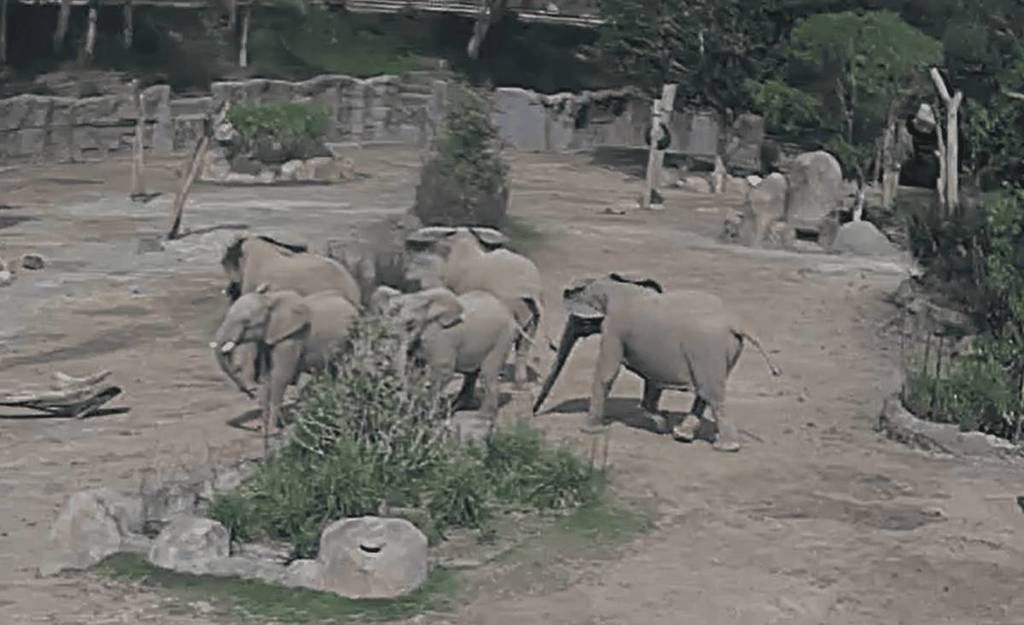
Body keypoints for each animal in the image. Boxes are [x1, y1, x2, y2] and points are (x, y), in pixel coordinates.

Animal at [211, 284, 359, 453]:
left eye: (247, 322)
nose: (250, 393)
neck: (269, 300)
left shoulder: (292, 338)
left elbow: (280, 377)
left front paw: (273, 429)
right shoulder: (268, 339)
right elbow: (267, 378)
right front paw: (264, 429)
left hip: (350, 338)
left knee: (345, 367)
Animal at [371, 285, 519, 429]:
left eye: (410, 324)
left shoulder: (442, 338)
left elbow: (443, 371)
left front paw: (426, 417)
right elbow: (415, 369)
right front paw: (412, 414)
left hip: (503, 338)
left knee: (488, 373)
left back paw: (482, 416)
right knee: (471, 374)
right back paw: (458, 407)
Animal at [532, 273, 781, 453]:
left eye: (577, 322)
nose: (533, 414)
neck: (610, 287)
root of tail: (736, 323)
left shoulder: (614, 328)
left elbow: (607, 373)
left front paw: (589, 431)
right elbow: (652, 381)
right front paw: (660, 424)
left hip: (708, 350)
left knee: (711, 394)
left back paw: (725, 447)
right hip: (725, 352)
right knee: (704, 392)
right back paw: (681, 435)